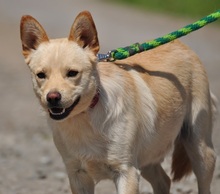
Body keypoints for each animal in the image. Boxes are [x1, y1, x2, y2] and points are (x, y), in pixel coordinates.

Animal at [20, 11, 217, 194]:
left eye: (72, 73)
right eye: (41, 75)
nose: (52, 97)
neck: (85, 118)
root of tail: (182, 46)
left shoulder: (126, 172)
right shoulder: (77, 174)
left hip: (199, 148)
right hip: (146, 157)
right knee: (163, 180)